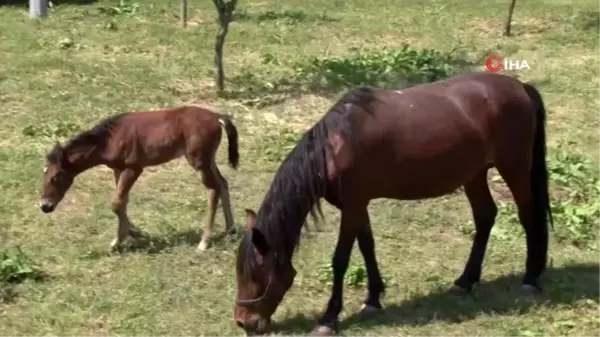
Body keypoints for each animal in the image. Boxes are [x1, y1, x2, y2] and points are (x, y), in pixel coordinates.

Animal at [38, 105, 241, 252]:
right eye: (44, 173)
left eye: (56, 176)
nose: (45, 206)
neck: (110, 139)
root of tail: (217, 116)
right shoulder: (118, 169)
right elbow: (122, 202)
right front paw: (132, 234)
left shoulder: (133, 168)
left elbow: (117, 203)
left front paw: (122, 240)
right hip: (208, 160)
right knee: (223, 183)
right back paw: (231, 230)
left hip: (198, 161)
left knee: (213, 189)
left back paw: (204, 242)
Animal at [232, 71, 552, 334]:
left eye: (256, 273)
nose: (243, 322)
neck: (337, 147)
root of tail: (521, 87)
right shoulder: (357, 206)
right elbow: (367, 247)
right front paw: (373, 299)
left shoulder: (352, 207)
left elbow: (340, 259)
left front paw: (329, 317)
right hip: (474, 174)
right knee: (485, 216)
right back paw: (465, 280)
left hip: (514, 168)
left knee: (528, 216)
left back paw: (530, 279)